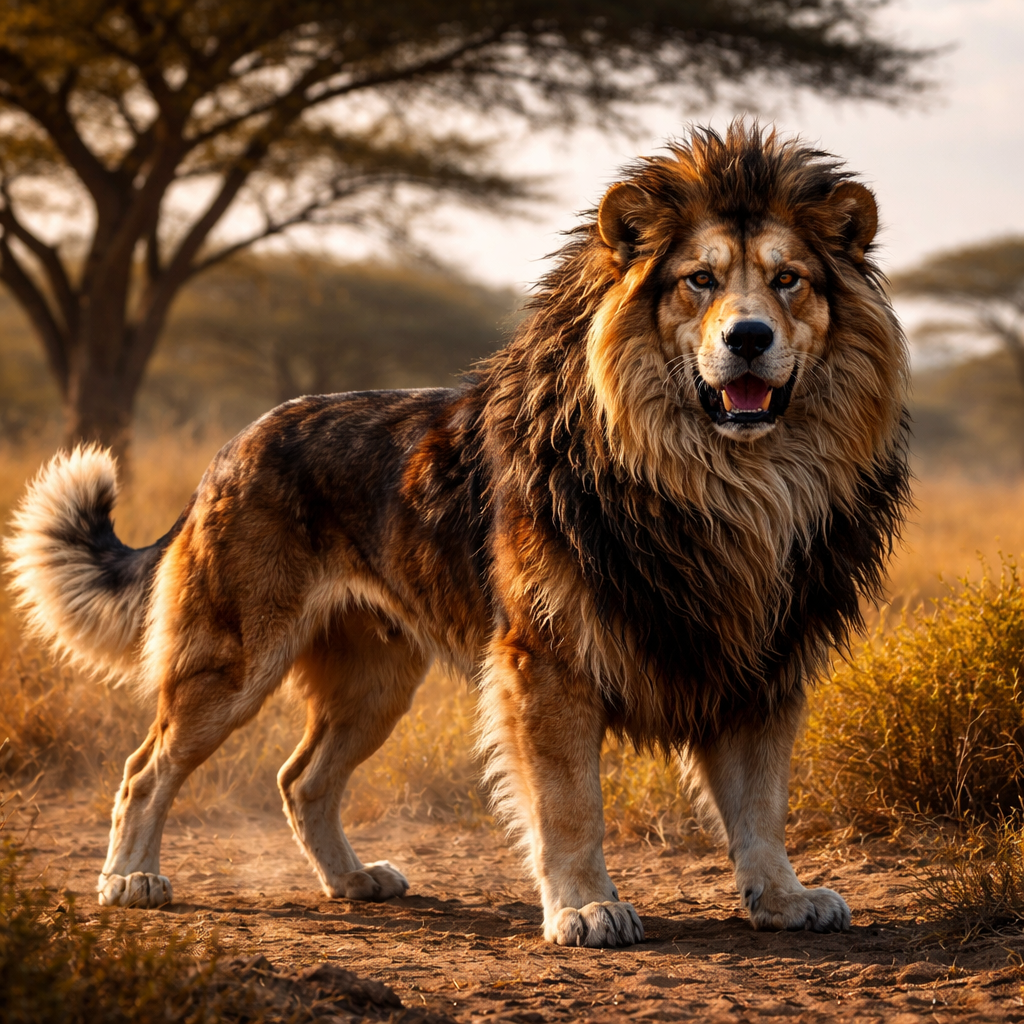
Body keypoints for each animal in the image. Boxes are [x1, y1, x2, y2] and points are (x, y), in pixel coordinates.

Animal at [5, 123, 909, 948]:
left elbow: (760, 803)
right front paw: (585, 909)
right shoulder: (546, 659)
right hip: (231, 662)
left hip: (375, 680)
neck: (730, 482)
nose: (748, 337)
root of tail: (232, 446)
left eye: (789, 281)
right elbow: (570, 802)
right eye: (700, 281)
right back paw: (130, 880)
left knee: (301, 779)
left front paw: (784, 899)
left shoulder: (763, 660)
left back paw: (352, 882)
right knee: (146, 767)